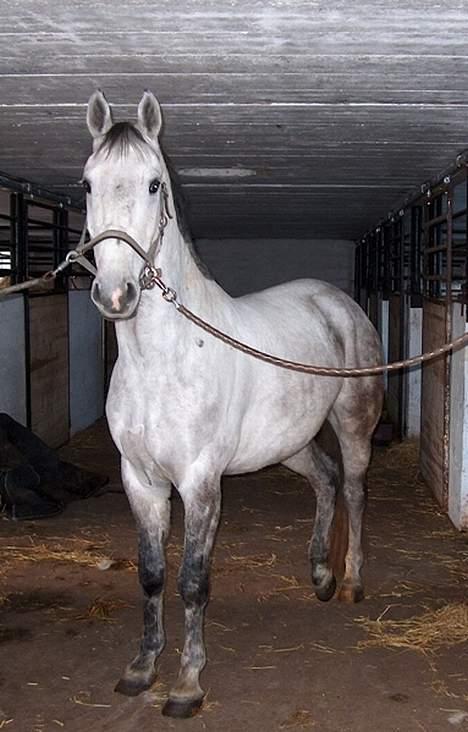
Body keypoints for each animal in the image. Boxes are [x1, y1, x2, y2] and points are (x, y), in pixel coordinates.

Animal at [83, 88, 384, 716]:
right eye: (88, 184)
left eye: (154, 183)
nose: (116, 294)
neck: (161, 363)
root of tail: (337, 302)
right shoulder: (140, 480)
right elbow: (152, 574)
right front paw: (141, 667)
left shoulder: (200, 482)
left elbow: (193, 580)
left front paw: (187, 683)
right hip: (289, 442)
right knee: (324, 481)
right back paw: (319, 575)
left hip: (352, 425)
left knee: (353, 489)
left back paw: (349, 581)